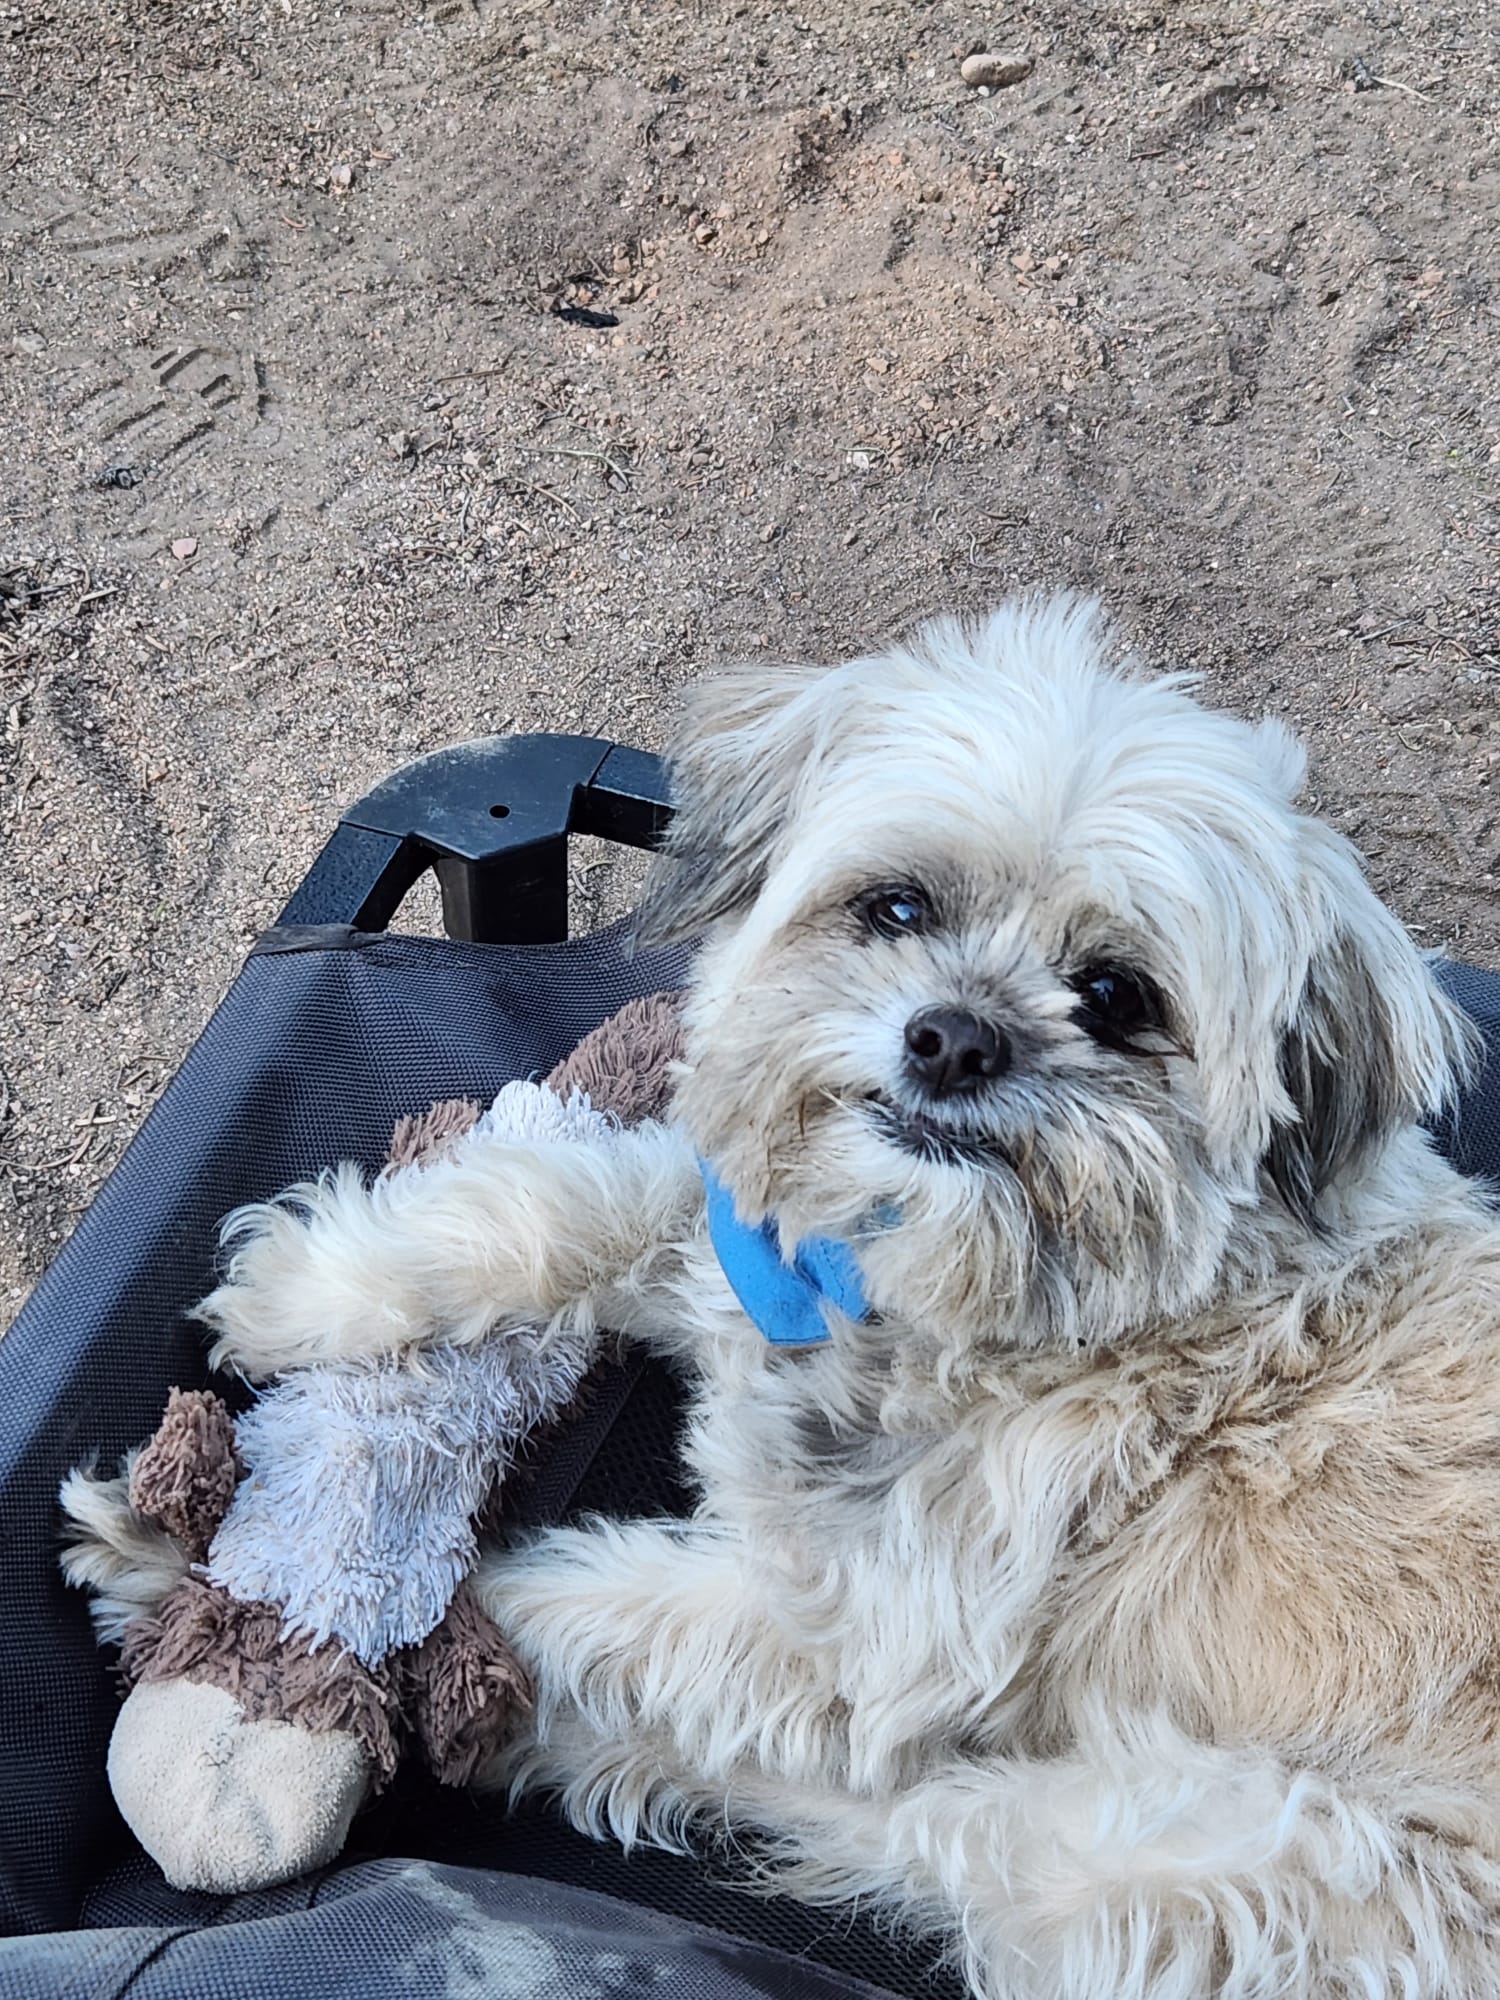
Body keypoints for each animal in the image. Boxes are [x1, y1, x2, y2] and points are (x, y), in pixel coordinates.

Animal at [67, 600, 1500, 1992]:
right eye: (899, 906)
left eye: (1116, 994)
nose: (955, 1037)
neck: (915, 1299)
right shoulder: (745, 1245)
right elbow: (566, 1201)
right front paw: (316, 1277)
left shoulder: (860, 1642)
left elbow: (554, 1606)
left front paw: (315, 1629)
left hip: (1210, 1846)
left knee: (902, 1819)